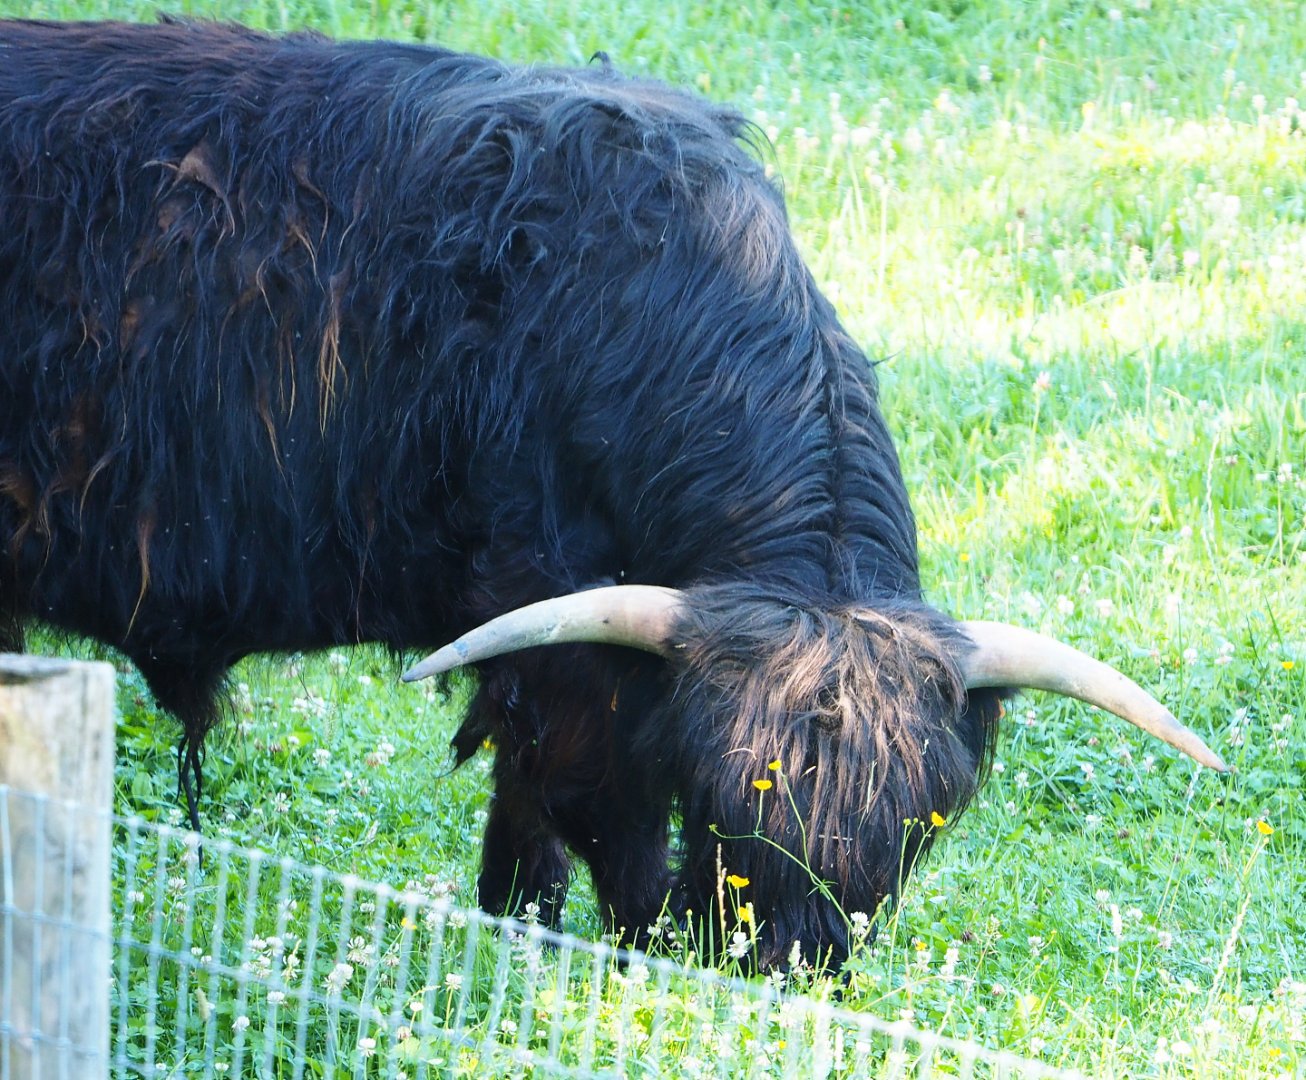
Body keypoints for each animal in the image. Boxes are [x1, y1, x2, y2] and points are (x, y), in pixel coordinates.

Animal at [0, 19, 1225, 969]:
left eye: (911, 832)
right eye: (729, 808)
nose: (789, 965)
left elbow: (525, 845)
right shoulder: (560, 665)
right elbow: (604, 851)